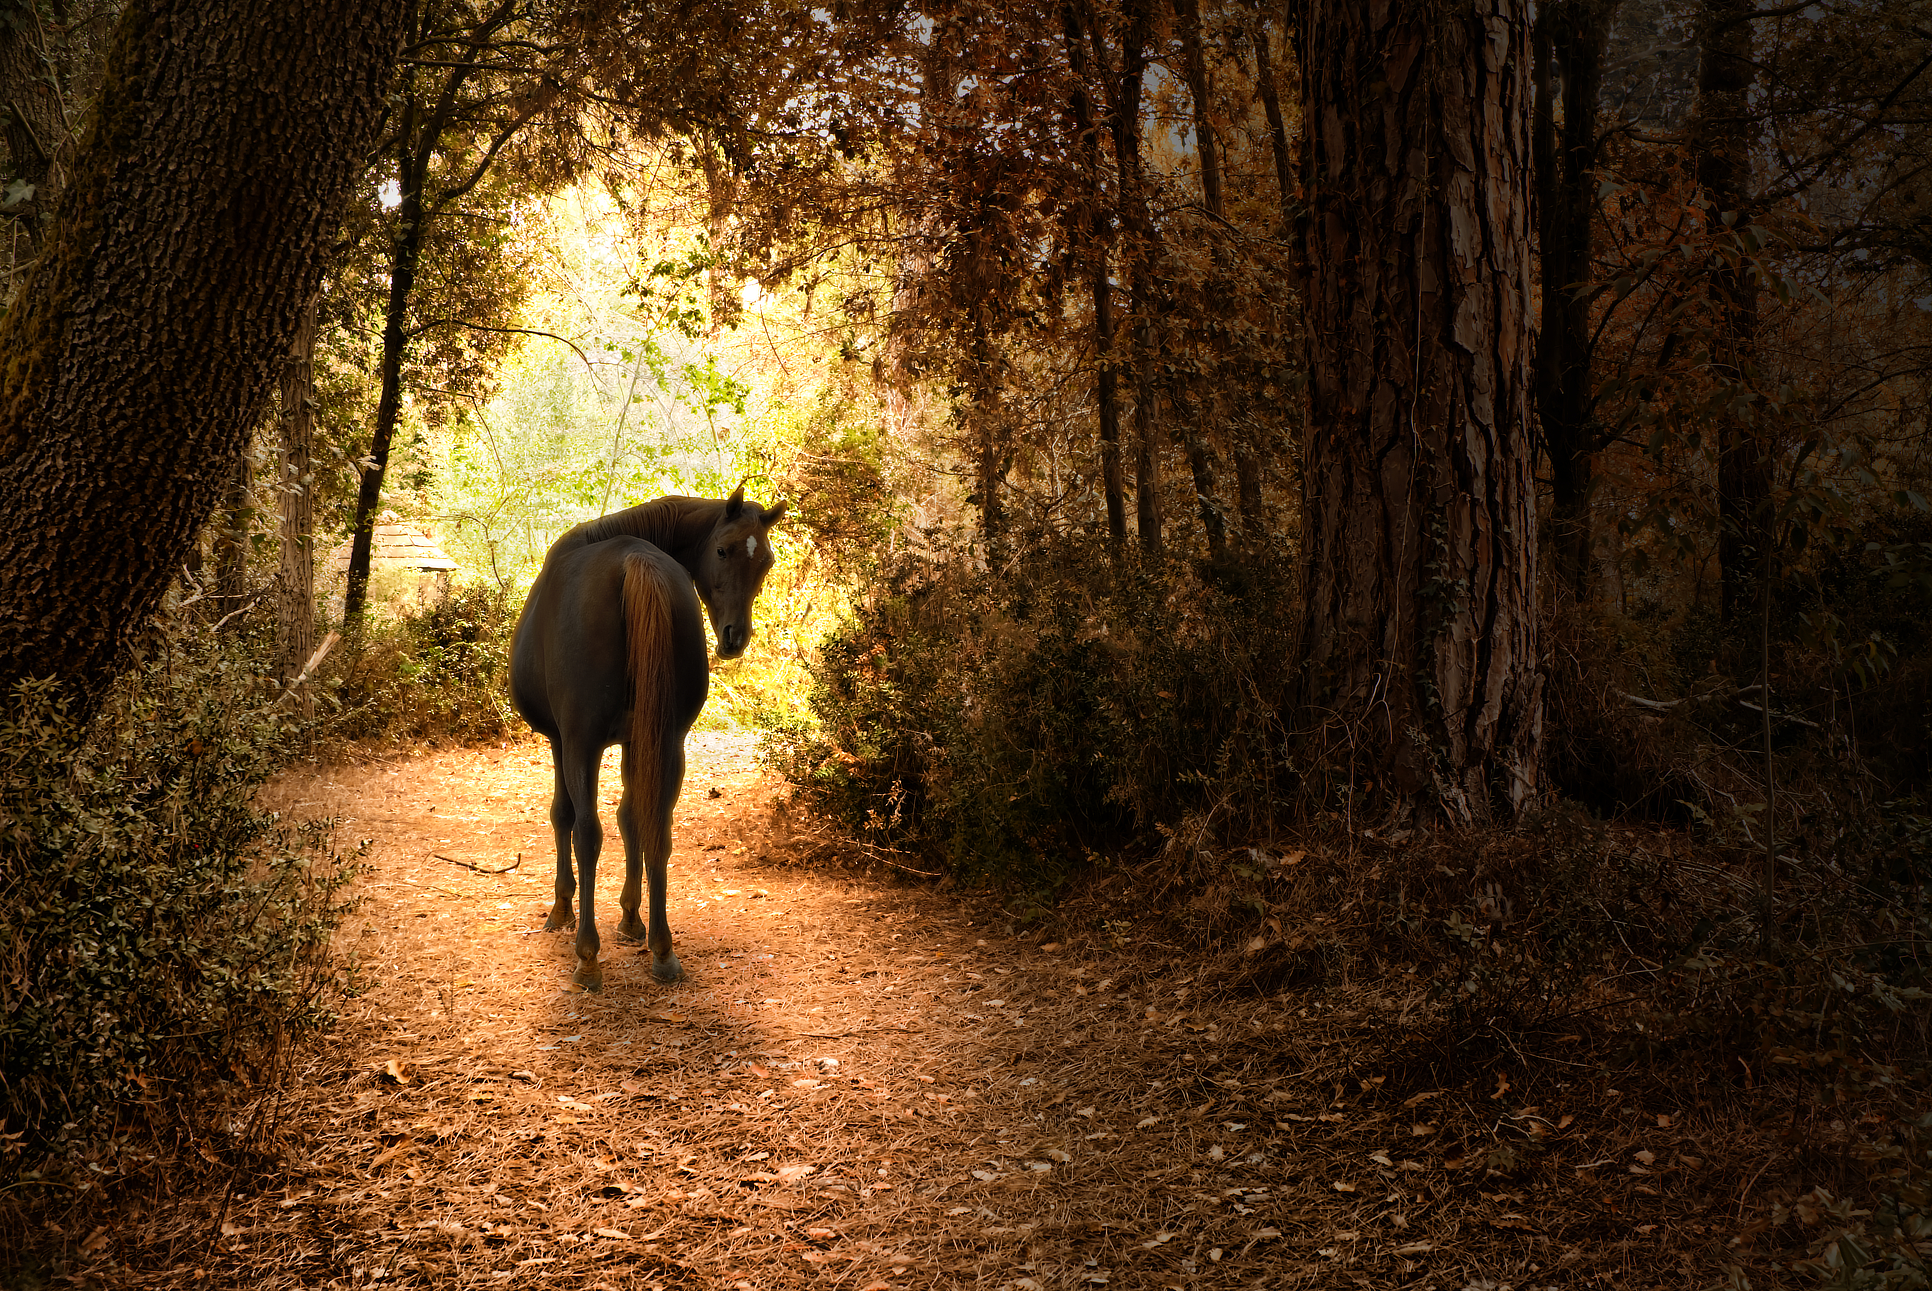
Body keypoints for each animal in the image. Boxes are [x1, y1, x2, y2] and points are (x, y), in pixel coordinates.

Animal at [513, 488, 792, 997]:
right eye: (723, 550)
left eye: (764, 561)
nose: (735, 638)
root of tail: (633, 561)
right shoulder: (637, 738)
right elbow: (632, 819)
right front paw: (630, 917)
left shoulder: (562, 740)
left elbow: (564, 817)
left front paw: (562, 910)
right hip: (670, 741)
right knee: (658, 830)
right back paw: (662, 950)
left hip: (583, 744)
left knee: (587, 833)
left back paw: (588, 956)